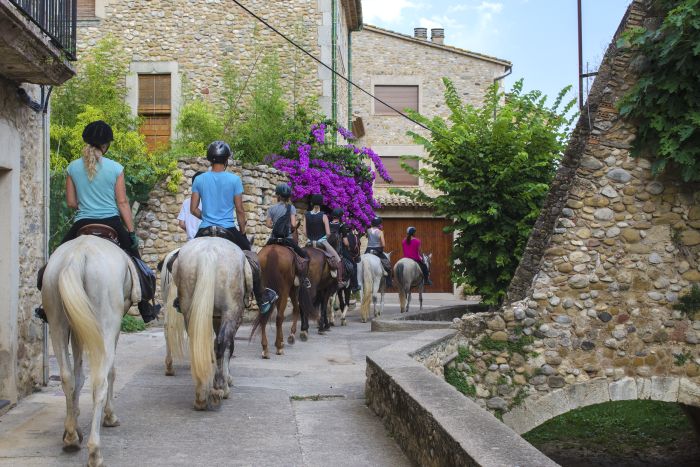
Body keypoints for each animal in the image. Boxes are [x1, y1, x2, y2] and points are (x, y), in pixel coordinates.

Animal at [40, 238, 142, 467]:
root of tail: (78, 254)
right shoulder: (113, 329)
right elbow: (111, 372)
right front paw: (110, 416)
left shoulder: (78, 328)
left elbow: (78, 375)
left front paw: (75, 420)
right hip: (106, 326)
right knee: (99, 382)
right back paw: (95, 451)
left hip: (57, 325)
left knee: (67, 376)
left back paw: (70, 436)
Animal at [173, 238, 254, 410]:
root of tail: (208, 252)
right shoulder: (230, 318)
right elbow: (228, 347)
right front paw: (226, 380)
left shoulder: (215, 317)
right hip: (231, 311)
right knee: (221, 343)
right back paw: (219, 388)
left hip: (190, 309)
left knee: (198, 343)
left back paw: (201, 395)